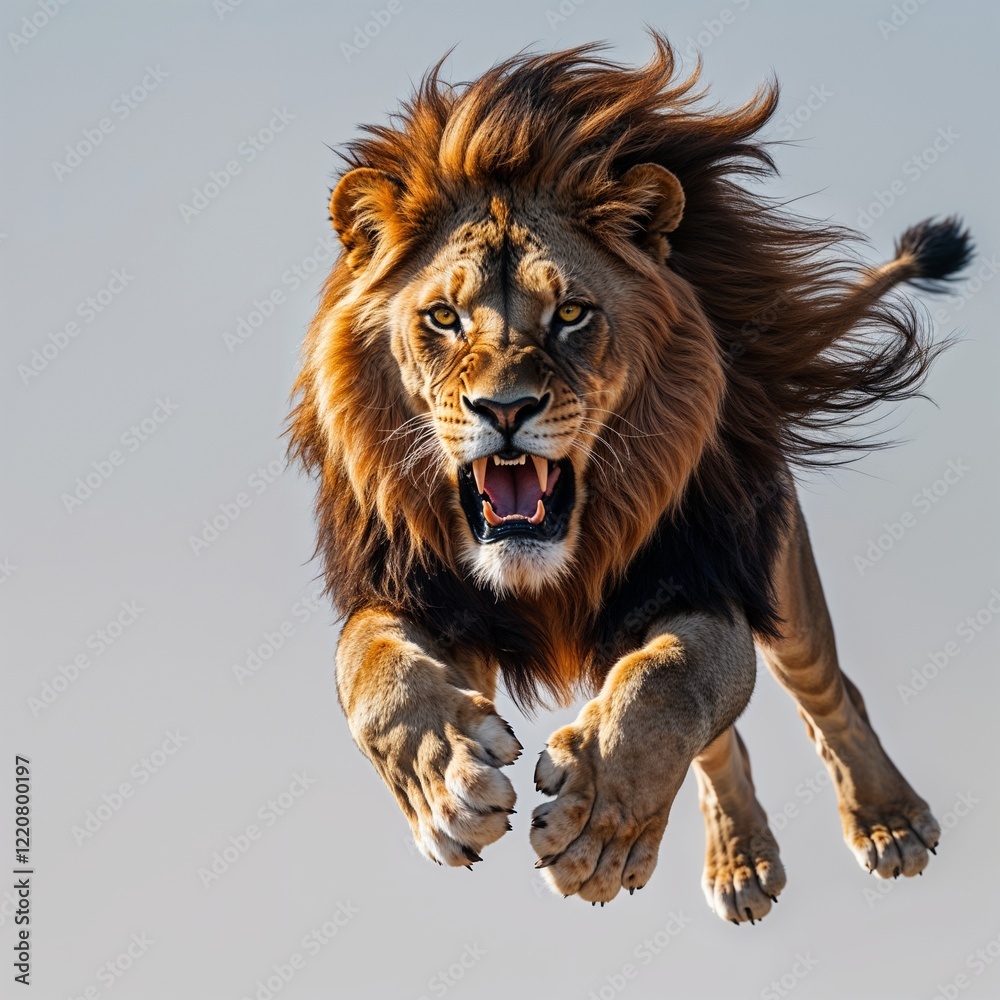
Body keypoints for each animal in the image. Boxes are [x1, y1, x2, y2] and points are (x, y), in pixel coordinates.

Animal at [288, 36, 972, 924]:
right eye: (443, 318)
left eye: (571, 314)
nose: (503, 408)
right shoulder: (415, 592)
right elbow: (374, 675)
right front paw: (446, 785)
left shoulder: (701, 576)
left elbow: (668, 685)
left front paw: (597, 831)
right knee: (719, 744)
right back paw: (740, 860)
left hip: (779, 580)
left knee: (824, 693)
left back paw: (889, 820)